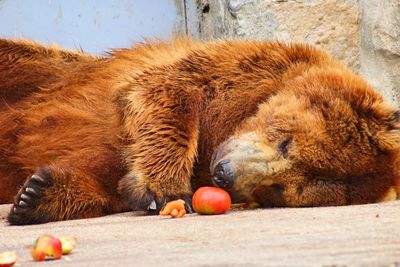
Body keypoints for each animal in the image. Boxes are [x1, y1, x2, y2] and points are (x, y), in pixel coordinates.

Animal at [0, 37, 398, 225]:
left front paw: (37, 194)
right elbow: (165, 91)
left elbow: (110, 180)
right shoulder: (240, 67)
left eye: (281, 188)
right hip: (46, 69)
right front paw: (167, 189)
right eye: (286, 143)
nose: (225, 174)